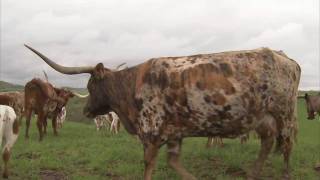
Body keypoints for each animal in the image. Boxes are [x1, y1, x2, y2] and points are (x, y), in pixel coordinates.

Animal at [24, 44, 300, 179]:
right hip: (263, 119)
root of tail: (285, 58)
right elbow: (173, 162)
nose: (87, 109)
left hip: (284, 115)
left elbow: (149, 164)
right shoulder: (174, 133)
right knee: (268, 144)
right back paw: (253, 174)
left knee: (286, 145)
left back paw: (286, 173)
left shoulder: (151, 131)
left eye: (92, 85)